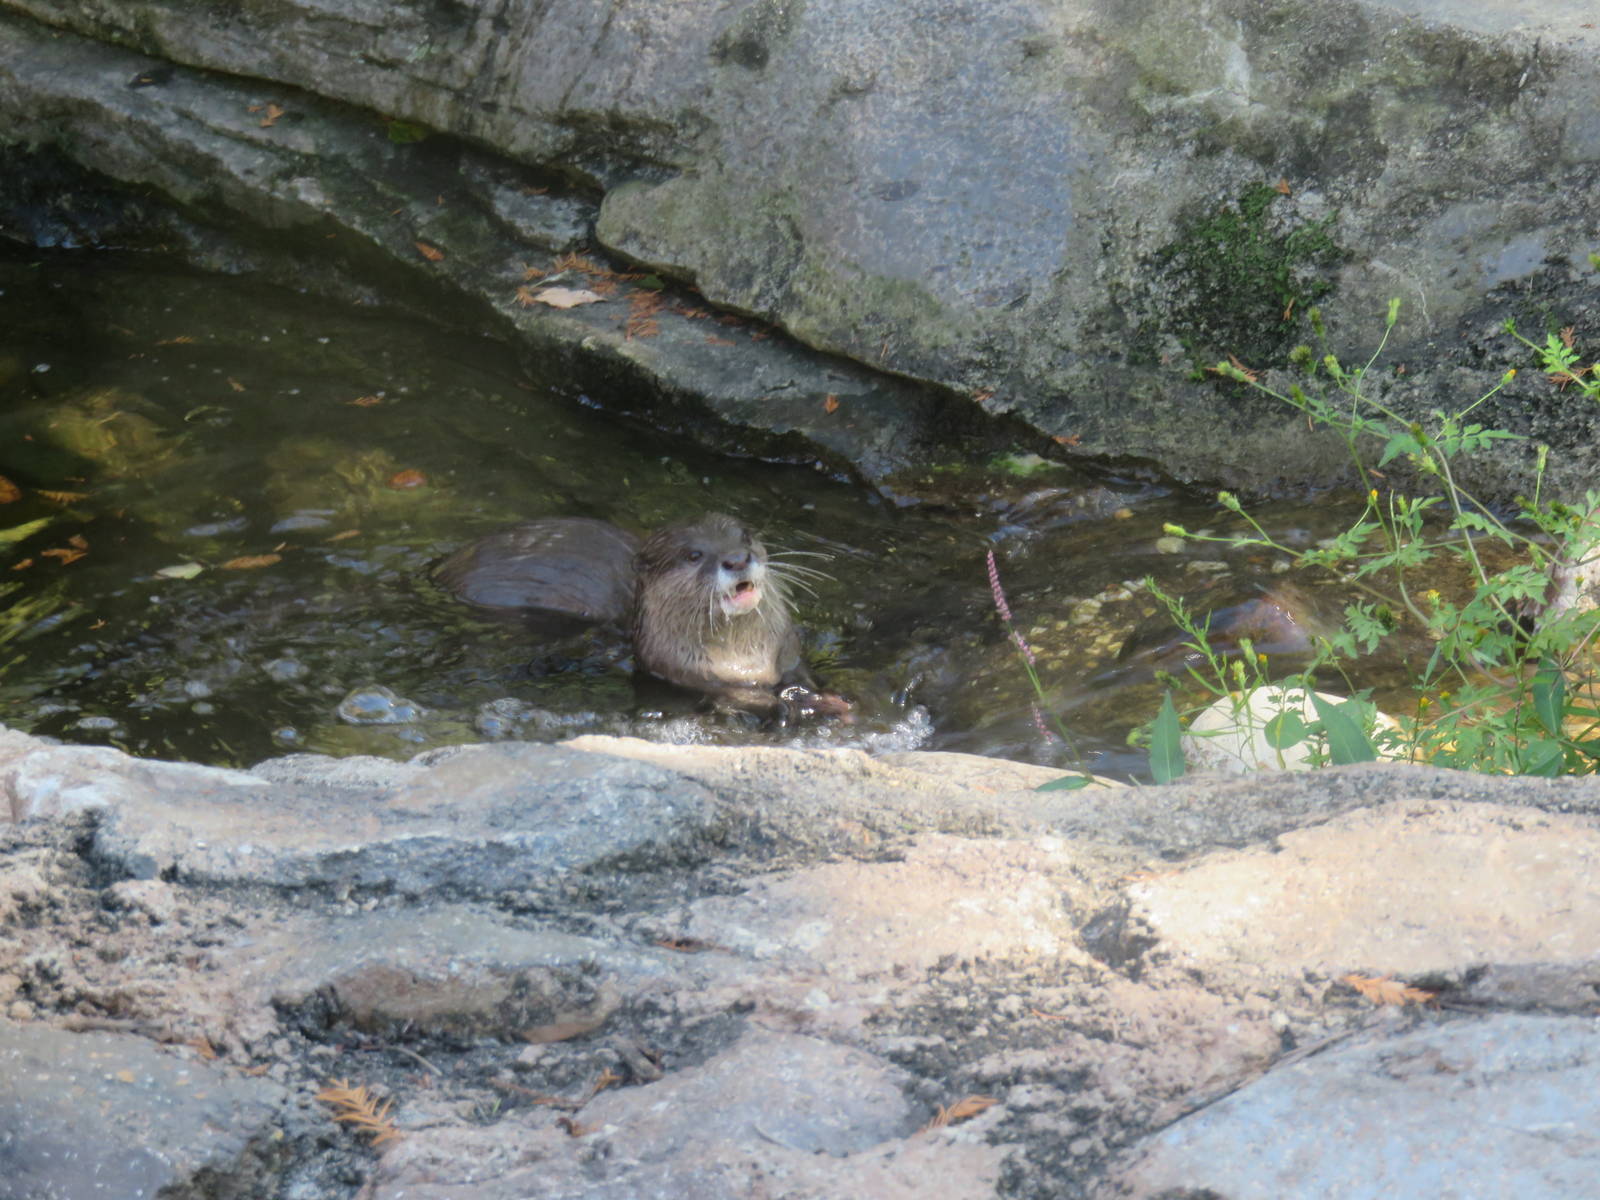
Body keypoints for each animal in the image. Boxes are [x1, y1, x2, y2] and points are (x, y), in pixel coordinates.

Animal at [435, 513, 846, 719]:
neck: (744, 663)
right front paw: (807, 703)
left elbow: (798, 676)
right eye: (694, 555)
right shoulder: (687, 674)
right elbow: (748, 699)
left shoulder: (786, 654)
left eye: (745, 537)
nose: (737, 558)